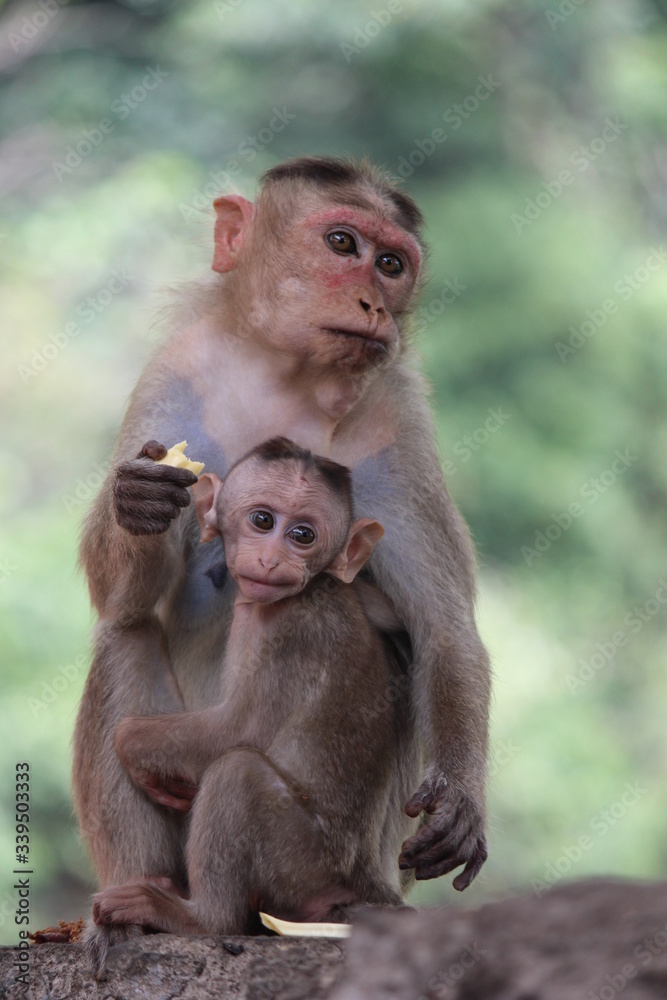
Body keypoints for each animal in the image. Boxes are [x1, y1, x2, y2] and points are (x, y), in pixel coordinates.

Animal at [91, 438, 421, 937]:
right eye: (263, 520)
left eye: (303, 535)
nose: (271, 560)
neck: (310, 587)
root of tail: (362, 879)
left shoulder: (284, 634)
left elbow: (239, 730)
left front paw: (131, 744)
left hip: (301, 863)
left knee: (237, 773)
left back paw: (199, 917)